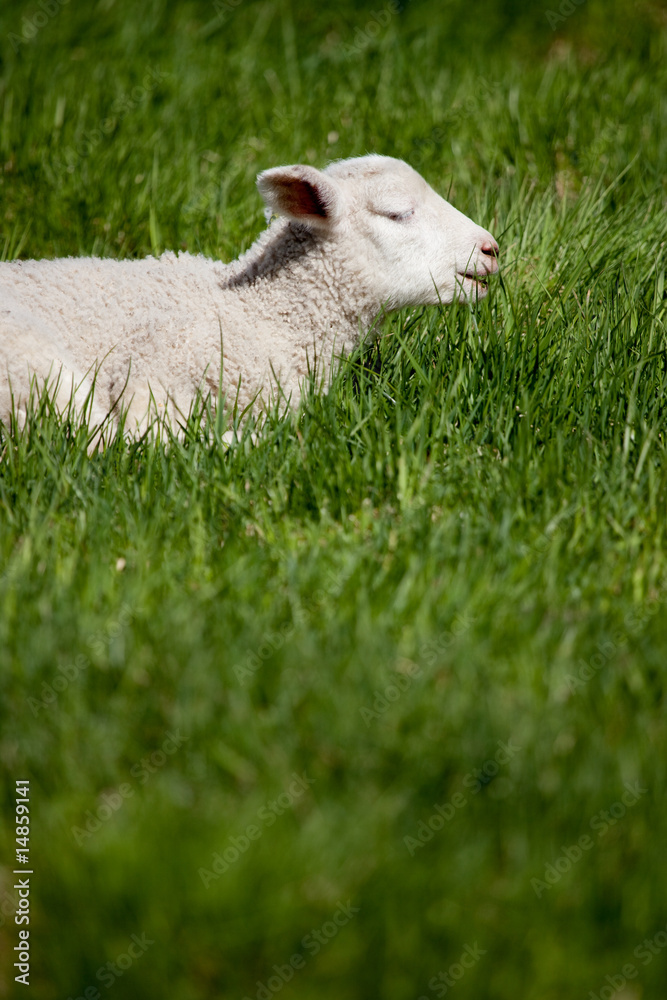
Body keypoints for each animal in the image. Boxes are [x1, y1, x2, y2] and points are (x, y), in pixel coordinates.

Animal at [0, 154, 499, 433]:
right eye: (397, 213)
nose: (491, 249)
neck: (261, 313)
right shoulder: (157, 364)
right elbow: (146, 435)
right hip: (36, 364)